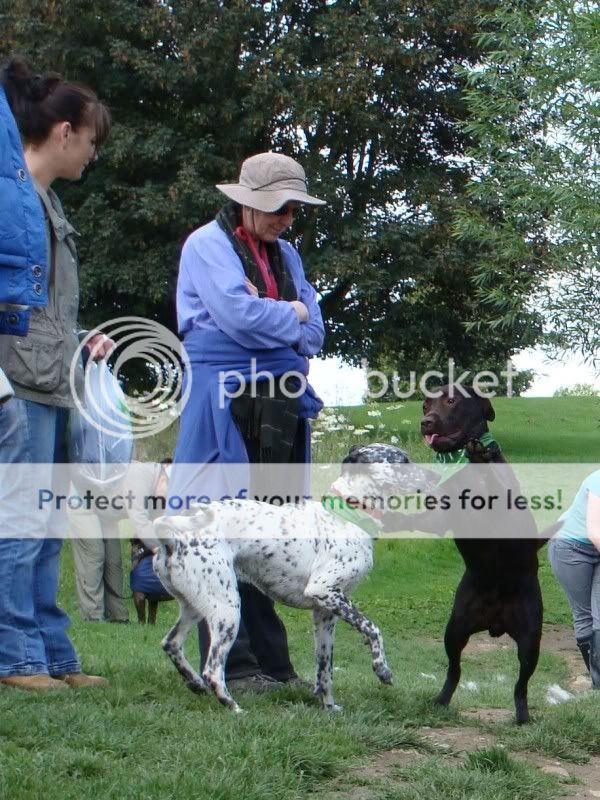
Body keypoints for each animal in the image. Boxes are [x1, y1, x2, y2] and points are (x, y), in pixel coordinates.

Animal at [384, 382, 552, 724]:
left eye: (451, 401)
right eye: (424, 406)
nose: (426, 422)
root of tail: (496, 623)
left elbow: (490, 476)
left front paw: (480, 454)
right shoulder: (439, 516)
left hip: (530, 639)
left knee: (521, 684)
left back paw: (523, 716)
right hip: (455, 629)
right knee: (454, 669)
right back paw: (441, 700)